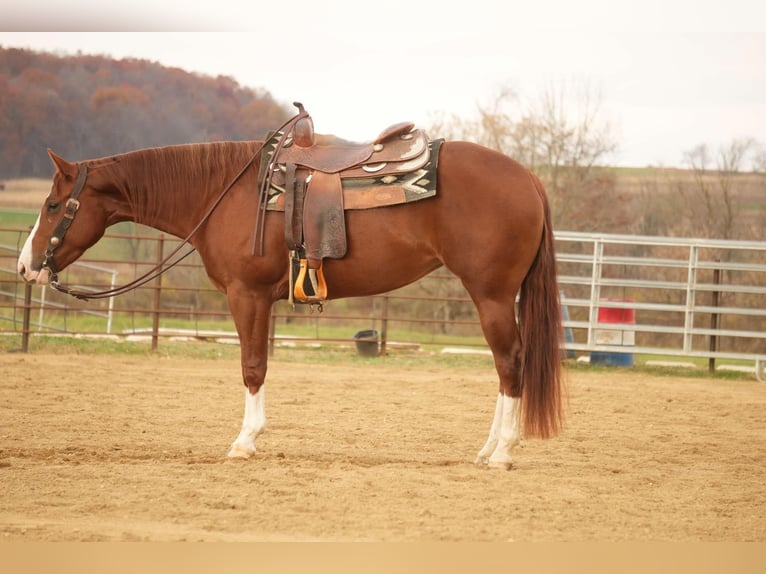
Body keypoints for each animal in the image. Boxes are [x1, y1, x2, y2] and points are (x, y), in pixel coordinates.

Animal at [16, 118, 564, 472]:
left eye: (53, 204)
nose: (24, 266)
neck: (224, 190)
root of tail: (529, 178)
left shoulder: (248, 295)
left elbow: (252, 367)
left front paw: (244, 442)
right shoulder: (262, 300)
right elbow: (259, 364)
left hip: (492, 296)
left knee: (510, 362)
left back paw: (502, 452)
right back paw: (488, 449)